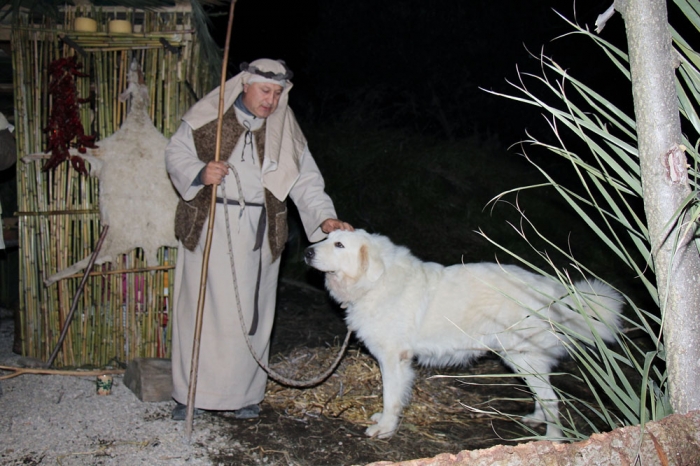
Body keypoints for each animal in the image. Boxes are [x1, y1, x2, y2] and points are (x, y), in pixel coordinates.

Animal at [304, 230, 620, 440]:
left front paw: (384, 428)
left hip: (522, 357)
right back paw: (535, 420)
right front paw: (384, 421)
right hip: (522, 359)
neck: (374, 281)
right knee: (544, 397)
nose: (307, 252)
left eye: (339, 244)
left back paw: (552, 440)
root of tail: (556, 293)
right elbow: (392, 398)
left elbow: (390, 397)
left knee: (553, 400)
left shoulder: (394, 359)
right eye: (326, 238)